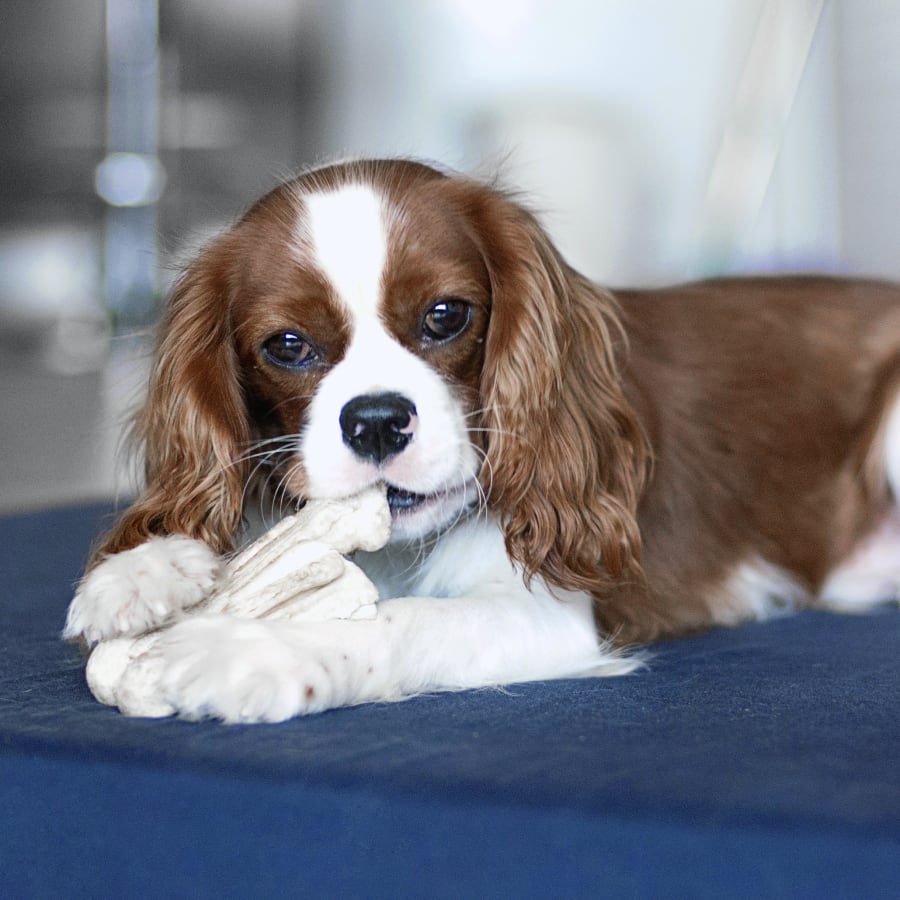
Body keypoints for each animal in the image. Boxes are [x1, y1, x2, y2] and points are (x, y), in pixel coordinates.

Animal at [65, 160, 900, 724]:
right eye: (289, 346)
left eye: (445, 315)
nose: (376, 419)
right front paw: (144, 569)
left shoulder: (546, 616)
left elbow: (398, 621)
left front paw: (250, 650)